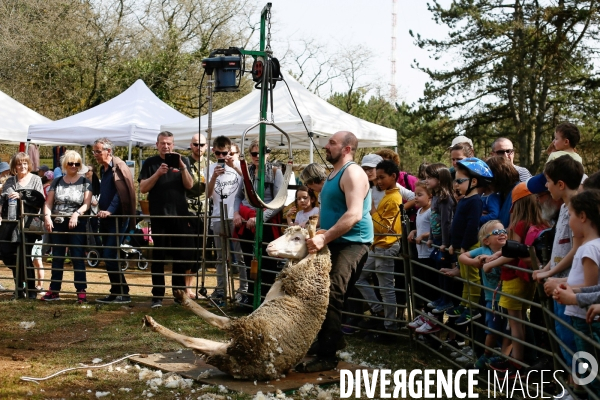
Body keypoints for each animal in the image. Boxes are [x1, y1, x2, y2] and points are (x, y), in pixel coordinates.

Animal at [143, 217, 330, 380]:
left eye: (297, 238)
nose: (269, 246)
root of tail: (244, 364)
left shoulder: (302, 274)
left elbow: (311, 253)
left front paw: (313, 227)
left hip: (248, 329)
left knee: (220, 322)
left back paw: (177, 305)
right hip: (229, 343)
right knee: (193, 340)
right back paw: (157, 320)